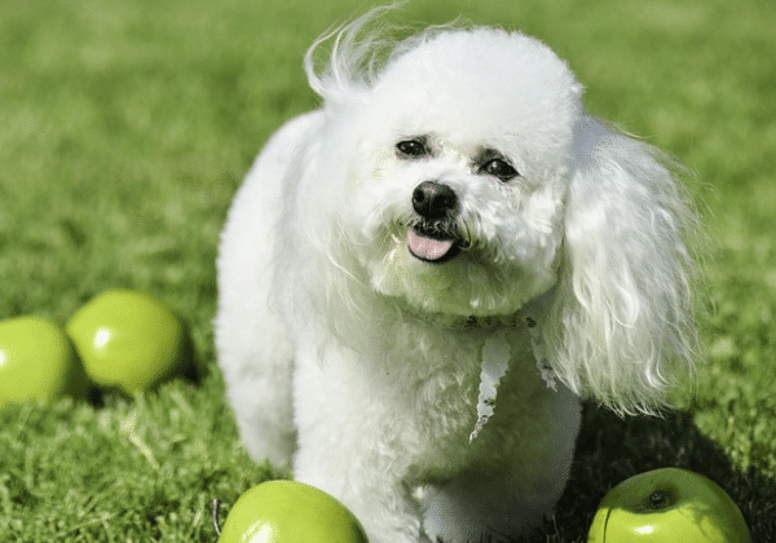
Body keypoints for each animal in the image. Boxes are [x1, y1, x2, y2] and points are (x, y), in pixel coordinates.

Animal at [214, 9, 696, 543]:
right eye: (411, 147)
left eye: (499, 167)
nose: (431, 196)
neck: (447, 324)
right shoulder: (360, 470)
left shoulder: (502, 483)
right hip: (260, 344)